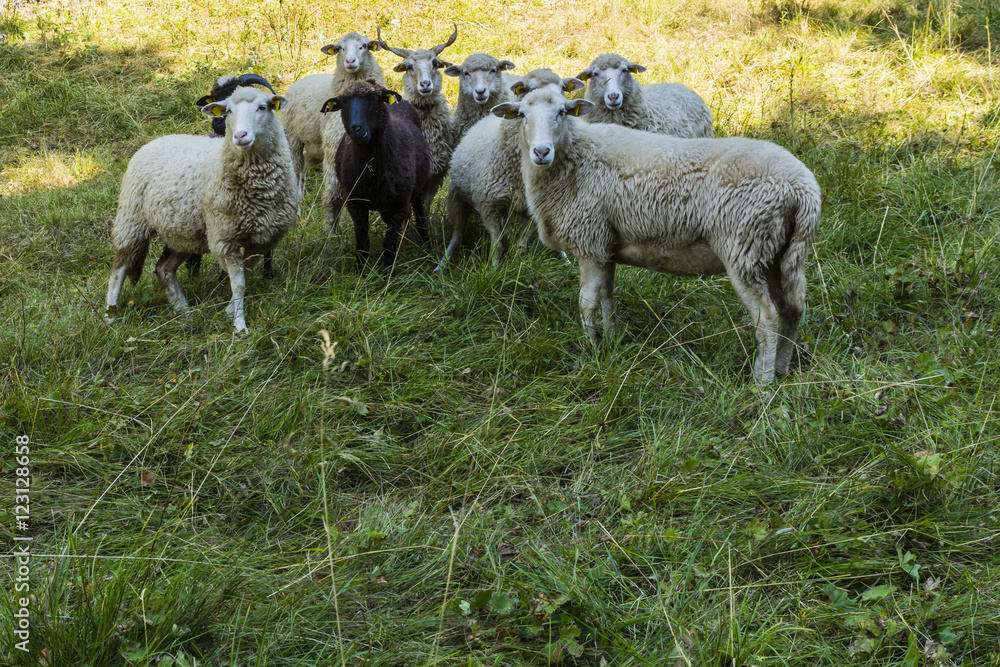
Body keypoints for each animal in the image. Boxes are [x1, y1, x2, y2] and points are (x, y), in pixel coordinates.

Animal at [320, 79, 430, 273]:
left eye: (374, 98)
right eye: (343, 103)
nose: (356, 129)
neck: (372, 168)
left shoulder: (400, 203)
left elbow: (389, 244)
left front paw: (387, 274)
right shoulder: (355, 204)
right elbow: (362, 242)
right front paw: (361, 272)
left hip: (415, 189)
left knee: (418, 208)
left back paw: (424, 240)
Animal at [442, 69, 584, 267]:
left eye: (563, 88)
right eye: (530, 88)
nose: (542, 151)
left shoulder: (532, 212)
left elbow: (521, 244)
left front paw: (518, 261)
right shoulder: (489, 205)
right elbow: (497, 246)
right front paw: (494, 269)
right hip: (456, 196)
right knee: (458, 233)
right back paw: (443, 263)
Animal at [492, 87, 821, 381]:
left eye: (562, 112)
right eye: (522, 115)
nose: (541, 152)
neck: (576, 157)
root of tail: (803, 190)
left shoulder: (590, 242)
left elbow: (587, 301)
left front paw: (589, 350)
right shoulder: (606, 246)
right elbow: (607, 295)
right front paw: (612, 340)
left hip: (744, 248)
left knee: (767, 319)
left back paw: (761, 384)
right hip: (780, 254)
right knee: (793, 309)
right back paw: (782, 369)